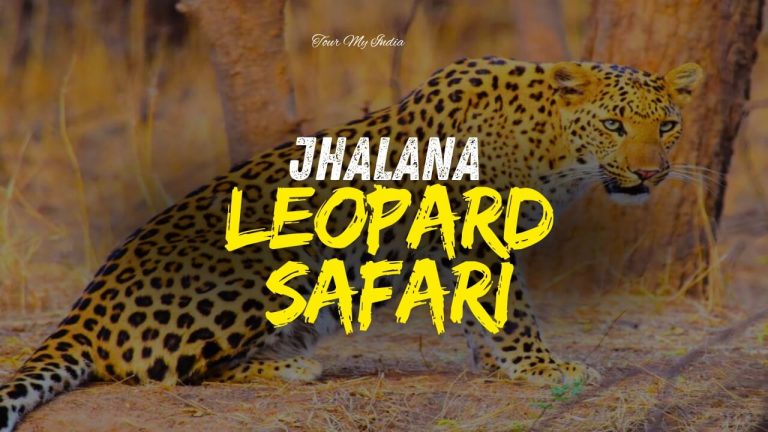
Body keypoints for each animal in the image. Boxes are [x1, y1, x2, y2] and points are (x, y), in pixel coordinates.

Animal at [0, 56, 703, 431]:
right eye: (614, 124)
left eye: (668, 126)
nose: (650, 174)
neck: (556, 149)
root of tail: (83, 311)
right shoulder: (472, 230)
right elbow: (509, 311)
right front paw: (541, 368)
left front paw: (498, 366)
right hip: (267, 263)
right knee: (166, 371)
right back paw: (289, 369)